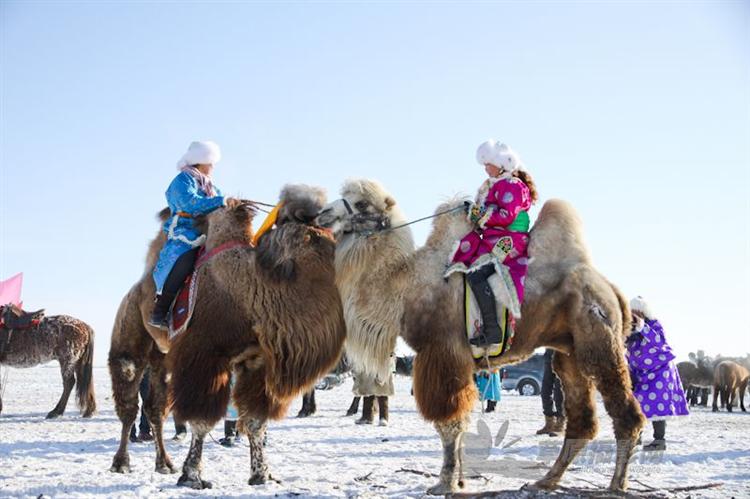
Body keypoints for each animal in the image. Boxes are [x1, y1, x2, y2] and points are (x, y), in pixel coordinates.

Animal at [167, 186, 344, 490]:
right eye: (319, 237)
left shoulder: (257, 363)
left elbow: (255, 422)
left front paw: (261, 473)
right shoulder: (204, 356)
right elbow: (201, 420)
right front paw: (191, 476)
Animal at [318, 180, 648, 496]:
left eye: (361, 203)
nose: (323, 213)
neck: (406, 287)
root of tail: (611, 289)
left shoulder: (443, 353)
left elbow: (449, 425)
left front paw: (445, 483)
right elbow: (459, 424)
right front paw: (459, 481)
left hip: (599, 343)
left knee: (626, 414)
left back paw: (617, 485)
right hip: (568, 353)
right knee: (582, 421)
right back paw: (544, 481)